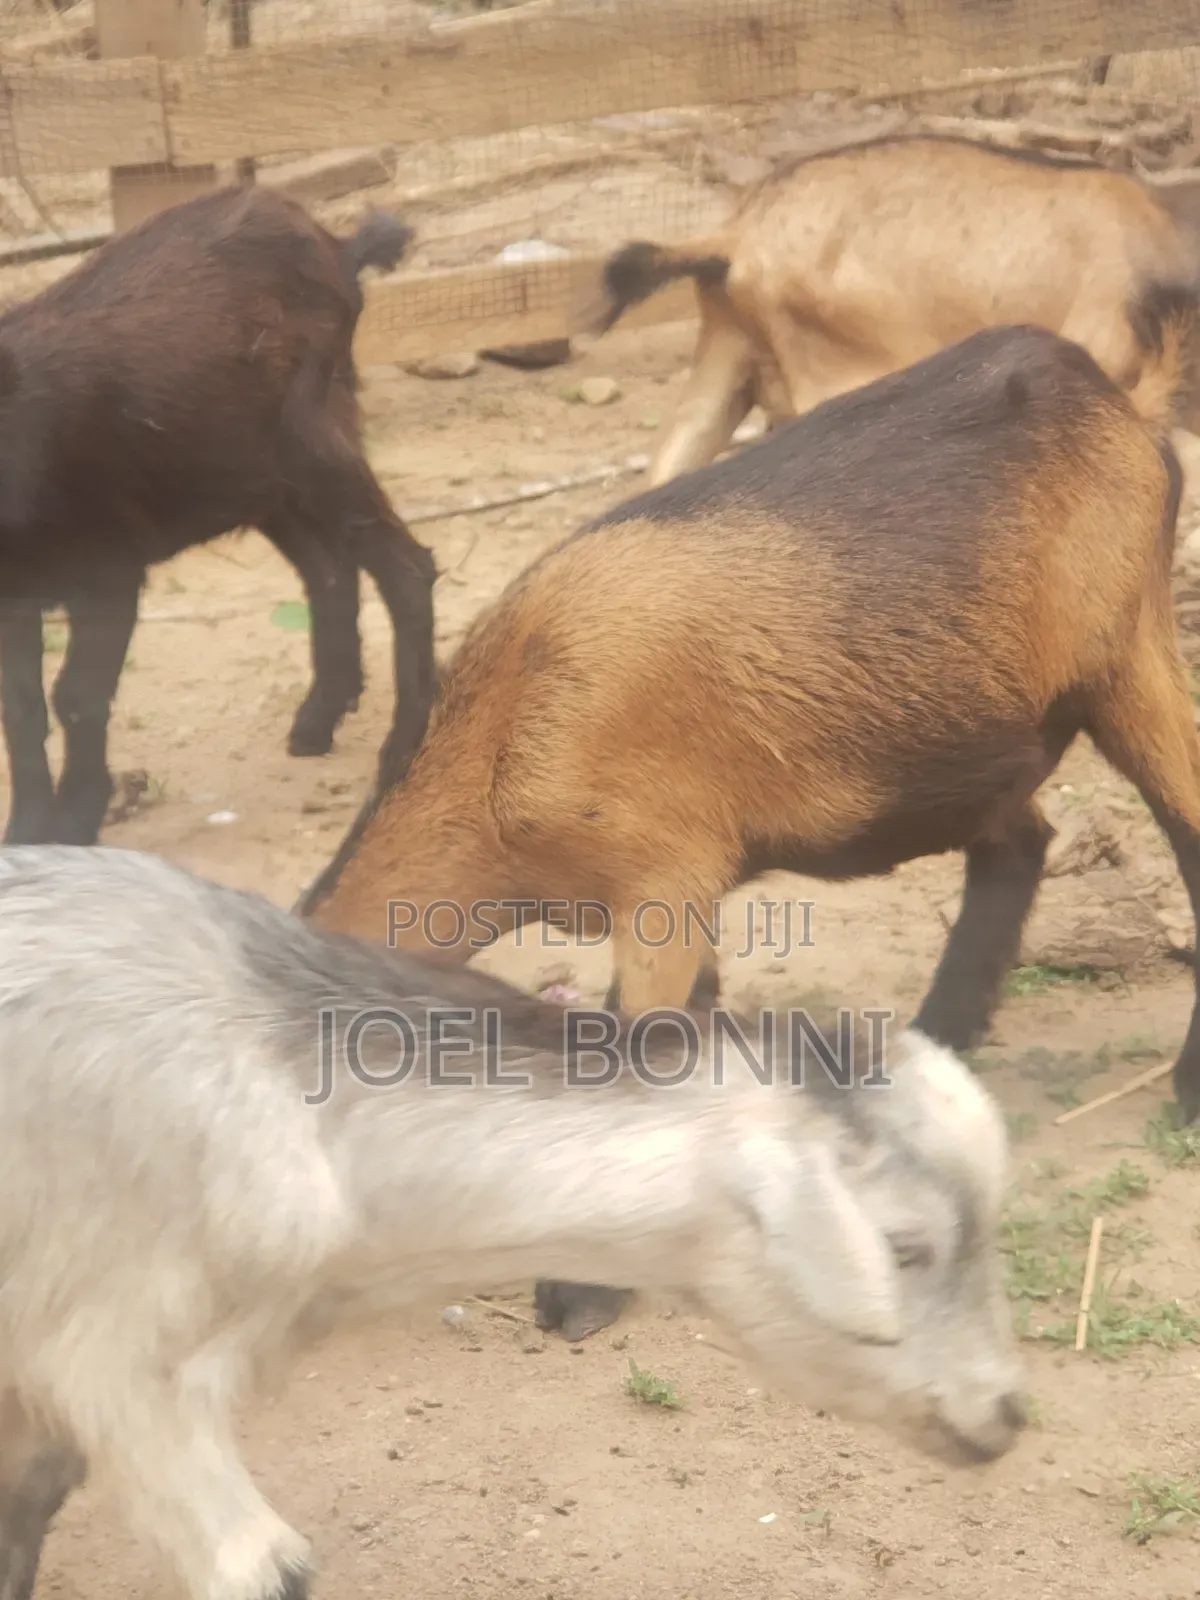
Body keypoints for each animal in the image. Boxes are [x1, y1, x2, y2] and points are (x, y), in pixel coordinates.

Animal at [0, 182, 438, 848]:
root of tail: (336, 246)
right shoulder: (11, 599)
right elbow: (21, 712)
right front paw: (25, 832)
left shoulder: (108, 569)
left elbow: (75, 695)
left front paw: (74, 822)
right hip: (255, 475)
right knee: (329, 569)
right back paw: (318, 719)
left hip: (313, 437)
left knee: (405, 566)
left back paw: (402, 751)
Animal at [299, 322, 1200, 1337]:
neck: (505, 735)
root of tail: (1111, 395)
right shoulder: (679, 892)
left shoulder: (662, 878)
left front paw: (580, 1292)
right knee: (1019, 843)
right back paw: (935, 1042)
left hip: (1128, 657)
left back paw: (1183, 1089)